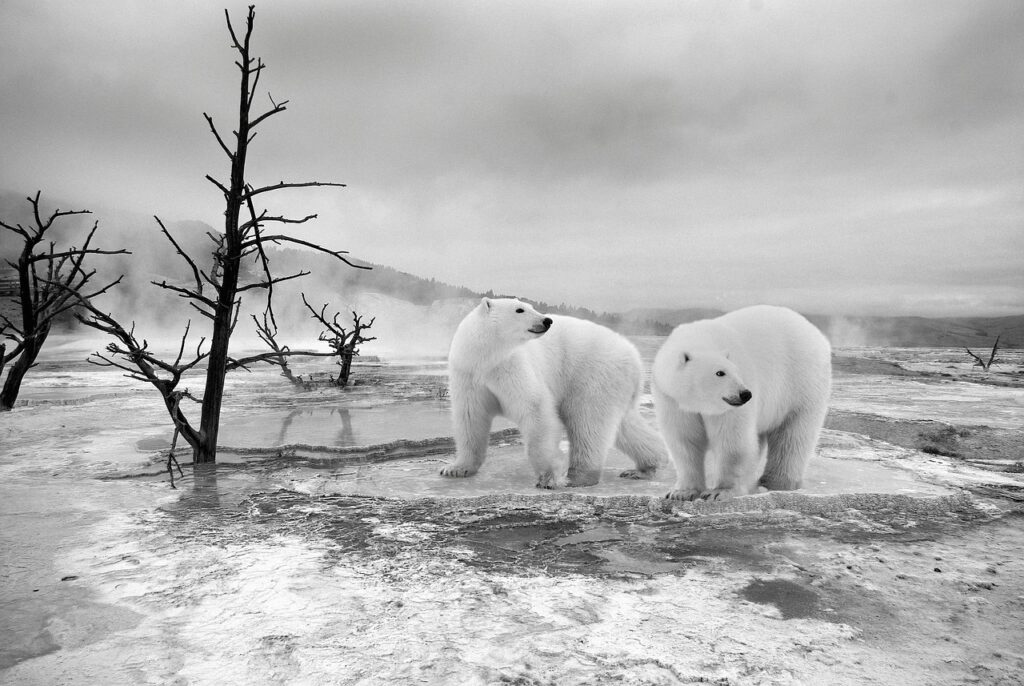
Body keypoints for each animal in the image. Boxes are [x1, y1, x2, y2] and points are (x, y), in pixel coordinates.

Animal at [442, 297, 667, 488]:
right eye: (520, 309)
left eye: (531, 306)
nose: (547, 320)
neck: (486, 358)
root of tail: (635, 357)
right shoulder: (468, 374)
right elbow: (470, 417)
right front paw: (456, 469)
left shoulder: (511, 367)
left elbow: (535, 409)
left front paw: (549, 477)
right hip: (614, 383)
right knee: (624, 426)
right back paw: (647, 467)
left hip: (593, 374)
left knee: (587, 421)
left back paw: (579, 476)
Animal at [651, 305, 831, 501]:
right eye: (720, 372)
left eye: (736, 371)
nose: (745, 394)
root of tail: (816, 334)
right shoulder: (672, 400)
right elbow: (685, 440)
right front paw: (682, 493)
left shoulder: (730, 407)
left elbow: (732, 441)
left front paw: (719, 491)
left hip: (801, 384)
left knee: (793, 435)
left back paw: (777, 482)